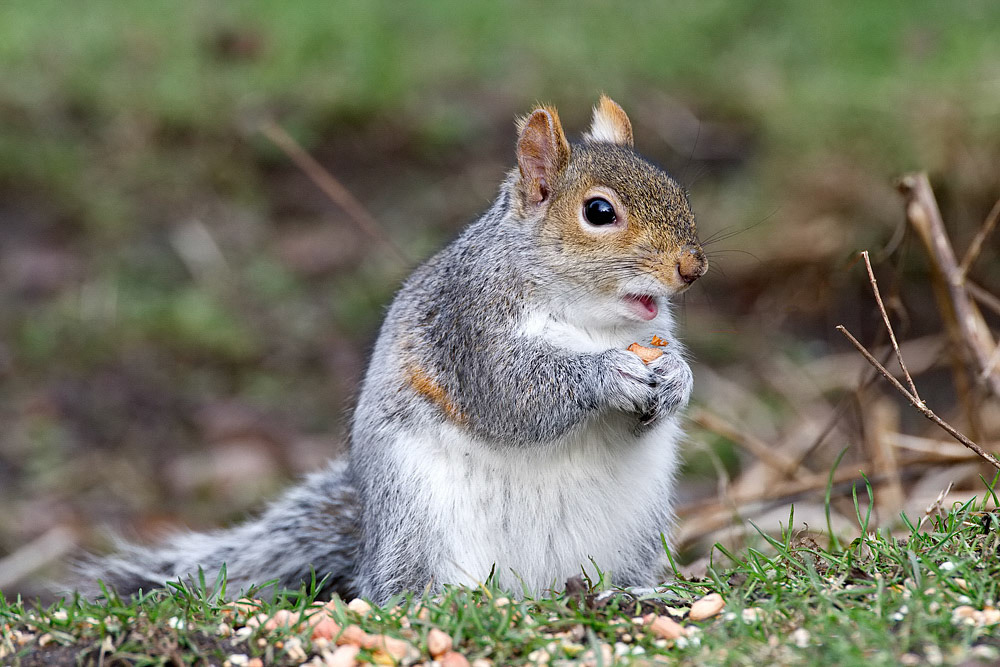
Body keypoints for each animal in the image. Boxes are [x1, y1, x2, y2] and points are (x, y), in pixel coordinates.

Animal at [76, 96, 707, 605]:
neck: (589, 318)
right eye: (599, 212)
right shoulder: (468, 327)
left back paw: (633, 593)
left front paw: (676, 377)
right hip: (418, 515)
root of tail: (533, 589)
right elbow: (513, 395)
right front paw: (610, 374)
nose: (693, 268)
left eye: (678, 190)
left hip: (633, 527)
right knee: (397, 587)